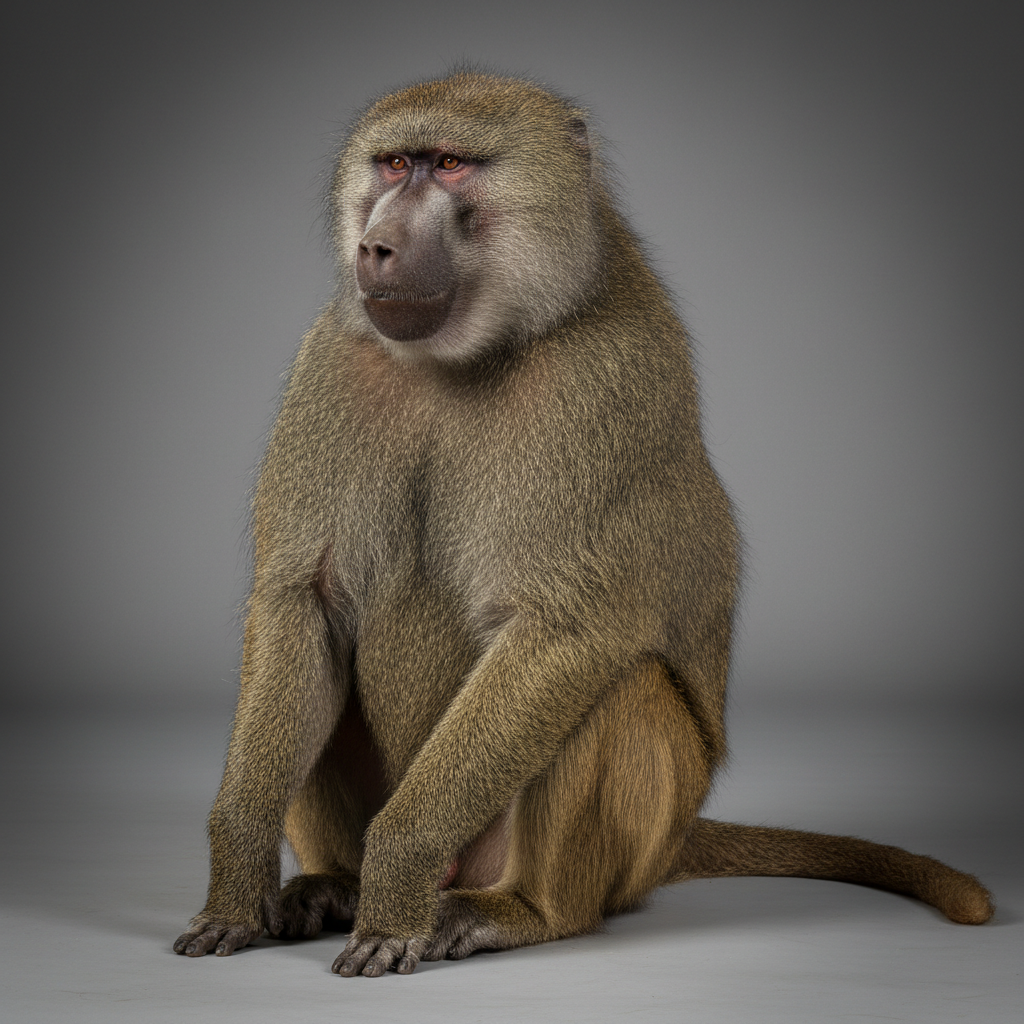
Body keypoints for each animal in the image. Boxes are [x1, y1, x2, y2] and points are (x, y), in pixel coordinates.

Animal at [173, 71, 994, 978]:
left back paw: (519, 910)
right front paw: (237, 880)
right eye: (392, 164)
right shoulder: (331, 362)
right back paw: (334, 885)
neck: (482, 341)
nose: (378, 248)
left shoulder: (601, 386)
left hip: (628, 849)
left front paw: (396, 885)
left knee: (615, 682)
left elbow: (562, 631)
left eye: (450, 165)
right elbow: (304, 604)